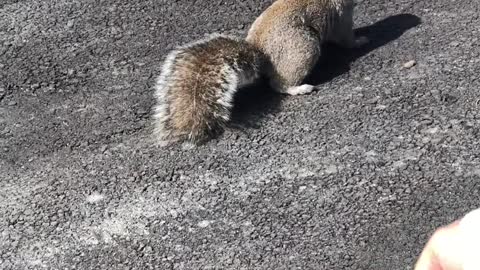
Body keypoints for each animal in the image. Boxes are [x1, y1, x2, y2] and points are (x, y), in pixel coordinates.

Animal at [153, 0, 368, 146]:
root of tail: (260, 52)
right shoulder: (341, 14)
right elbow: (345, 37)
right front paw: (360, 41)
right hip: (303, 48)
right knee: (279, 84)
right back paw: (300, 88)